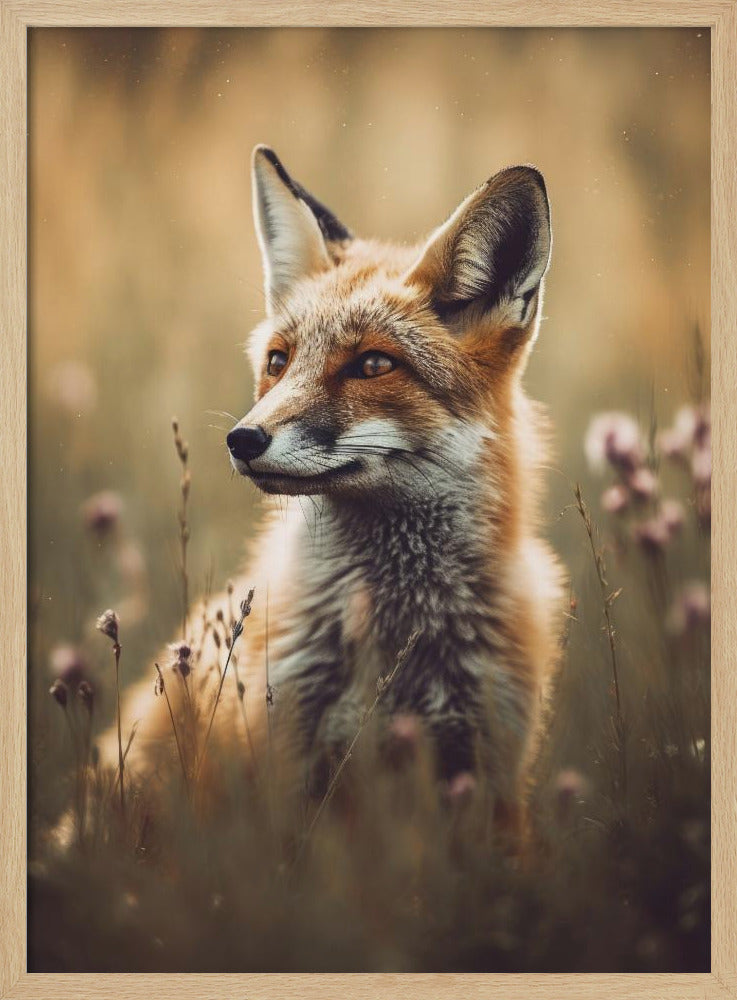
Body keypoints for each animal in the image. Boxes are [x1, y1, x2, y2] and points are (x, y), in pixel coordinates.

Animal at [92, 145, 564, 840]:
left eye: (373, 365)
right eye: (279, 361)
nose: (241, 439)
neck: (397, 642)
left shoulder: (489, 773)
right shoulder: (286, 765)